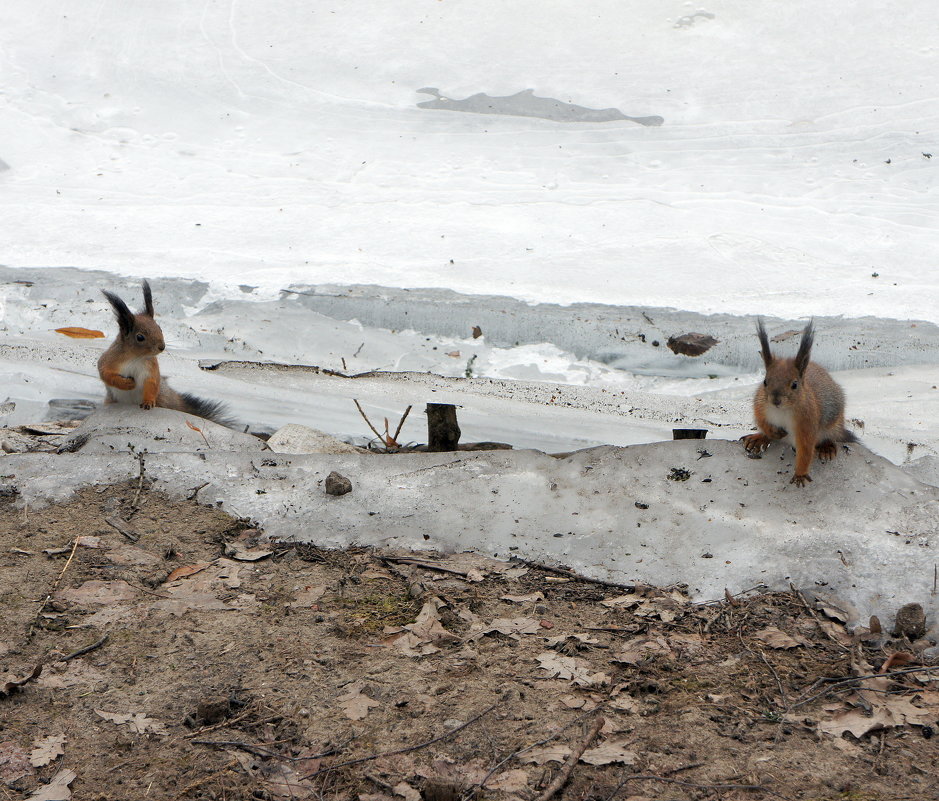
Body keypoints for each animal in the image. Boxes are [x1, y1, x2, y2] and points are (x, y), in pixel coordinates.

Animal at [98, 280, 234, 424]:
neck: (136, 357)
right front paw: (126, 383)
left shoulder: (151, 368)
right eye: (140, 337)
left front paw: (148, 402)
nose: (162, 347)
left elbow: (152, 383)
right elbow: (106, 375)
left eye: (160, 328)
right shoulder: (109, 360)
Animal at [744, 320, 856, 488]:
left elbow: (806, 449)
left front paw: (800, 474)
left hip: (834, 424)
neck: (782, 410)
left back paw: (826, 448)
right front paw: (772, 432)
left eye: (794, 384)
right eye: (765, 381)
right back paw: (759, 439)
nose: (775, 400)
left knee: (831, 435)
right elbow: (761, 421)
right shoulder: (761, 406)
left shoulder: (807, 422)